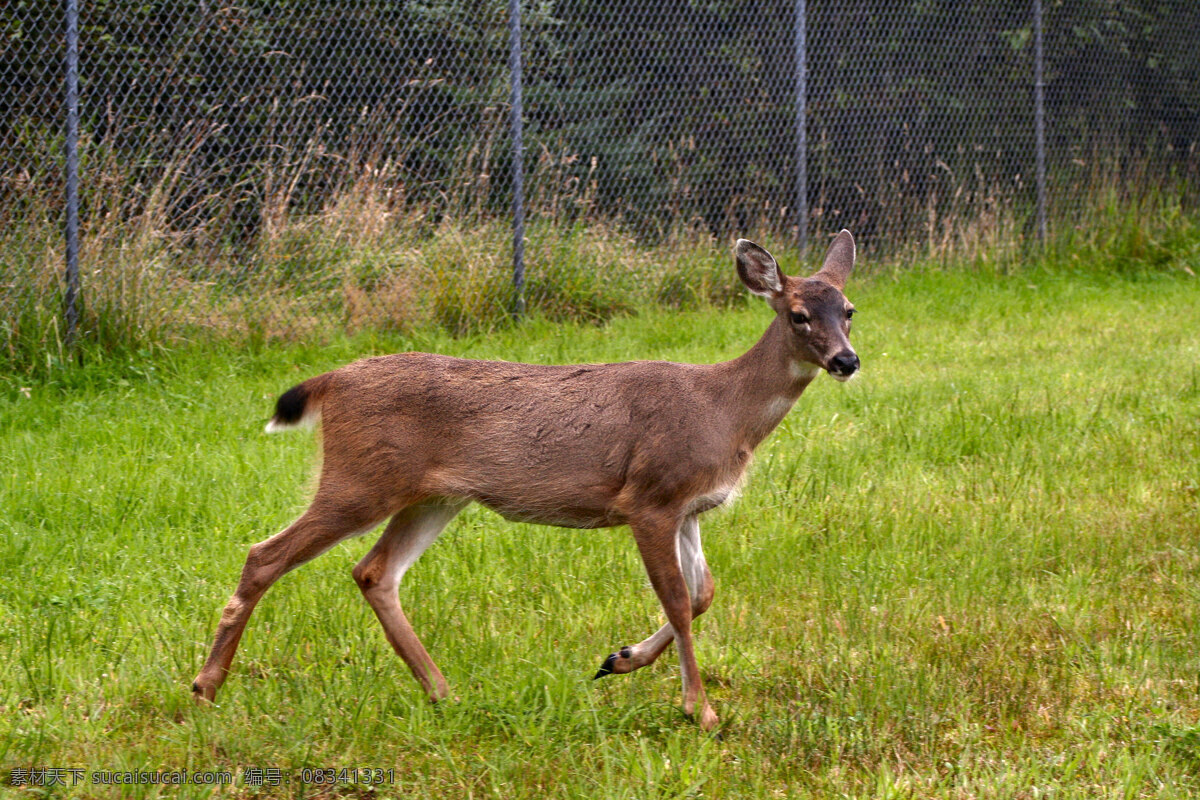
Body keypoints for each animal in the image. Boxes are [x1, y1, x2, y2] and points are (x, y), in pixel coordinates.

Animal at [192, 227, 859, 729]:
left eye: (849, 311)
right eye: (799, 315)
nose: (846, 360)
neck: (722, 411)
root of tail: (330, 381)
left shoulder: (690, 506)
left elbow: (702, 594)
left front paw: (619, 658)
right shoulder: (649, 495)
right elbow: (675, 597)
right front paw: (701, 711)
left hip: (432, 496)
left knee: (374, 572)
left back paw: (443, 692)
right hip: (361, 478)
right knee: (265, 555)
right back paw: (205, 686)